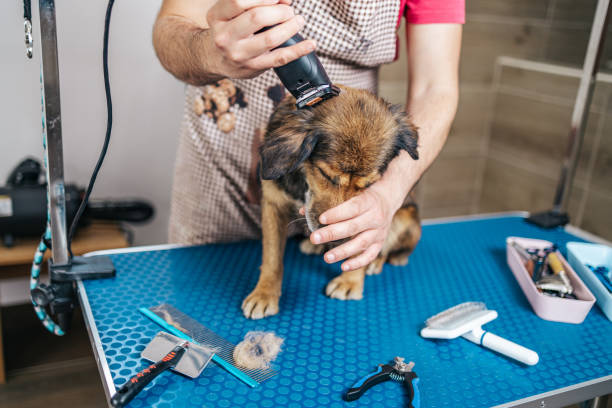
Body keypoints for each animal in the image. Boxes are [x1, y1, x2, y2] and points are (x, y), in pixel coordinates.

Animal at [241, 87, 418, 320]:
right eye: (325, 174)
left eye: (369, 185)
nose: (339, 240)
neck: (304, 184)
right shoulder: (273, 205)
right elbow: (271, 258)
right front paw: (264, 293)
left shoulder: (366, 215)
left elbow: (361, 246)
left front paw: (350, 281)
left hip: (405, 219)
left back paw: (375, 261)